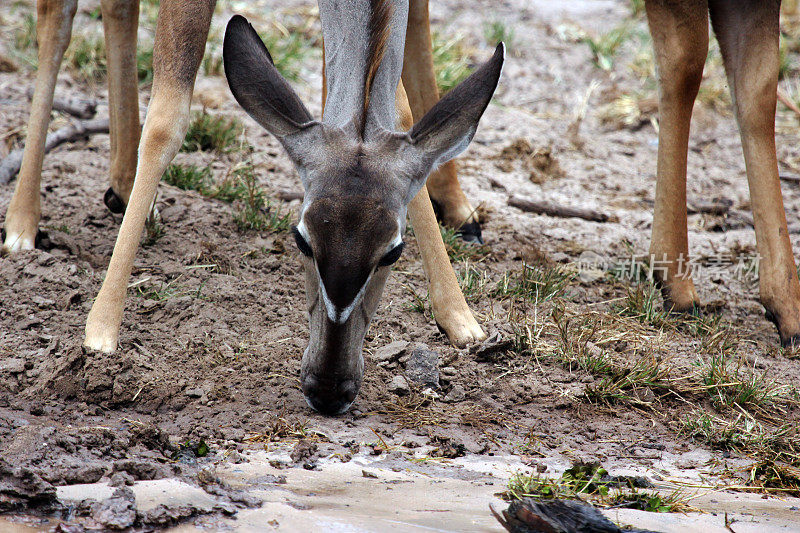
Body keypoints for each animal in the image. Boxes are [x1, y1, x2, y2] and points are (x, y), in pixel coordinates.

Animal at [1, 0, 500, 412]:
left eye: (393, 252)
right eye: (301, 241)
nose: (328, 390)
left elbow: (398, 109)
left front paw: (461, 318)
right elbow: (166, 121)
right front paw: (101, 331)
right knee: (56, 17)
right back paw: (23, 222)